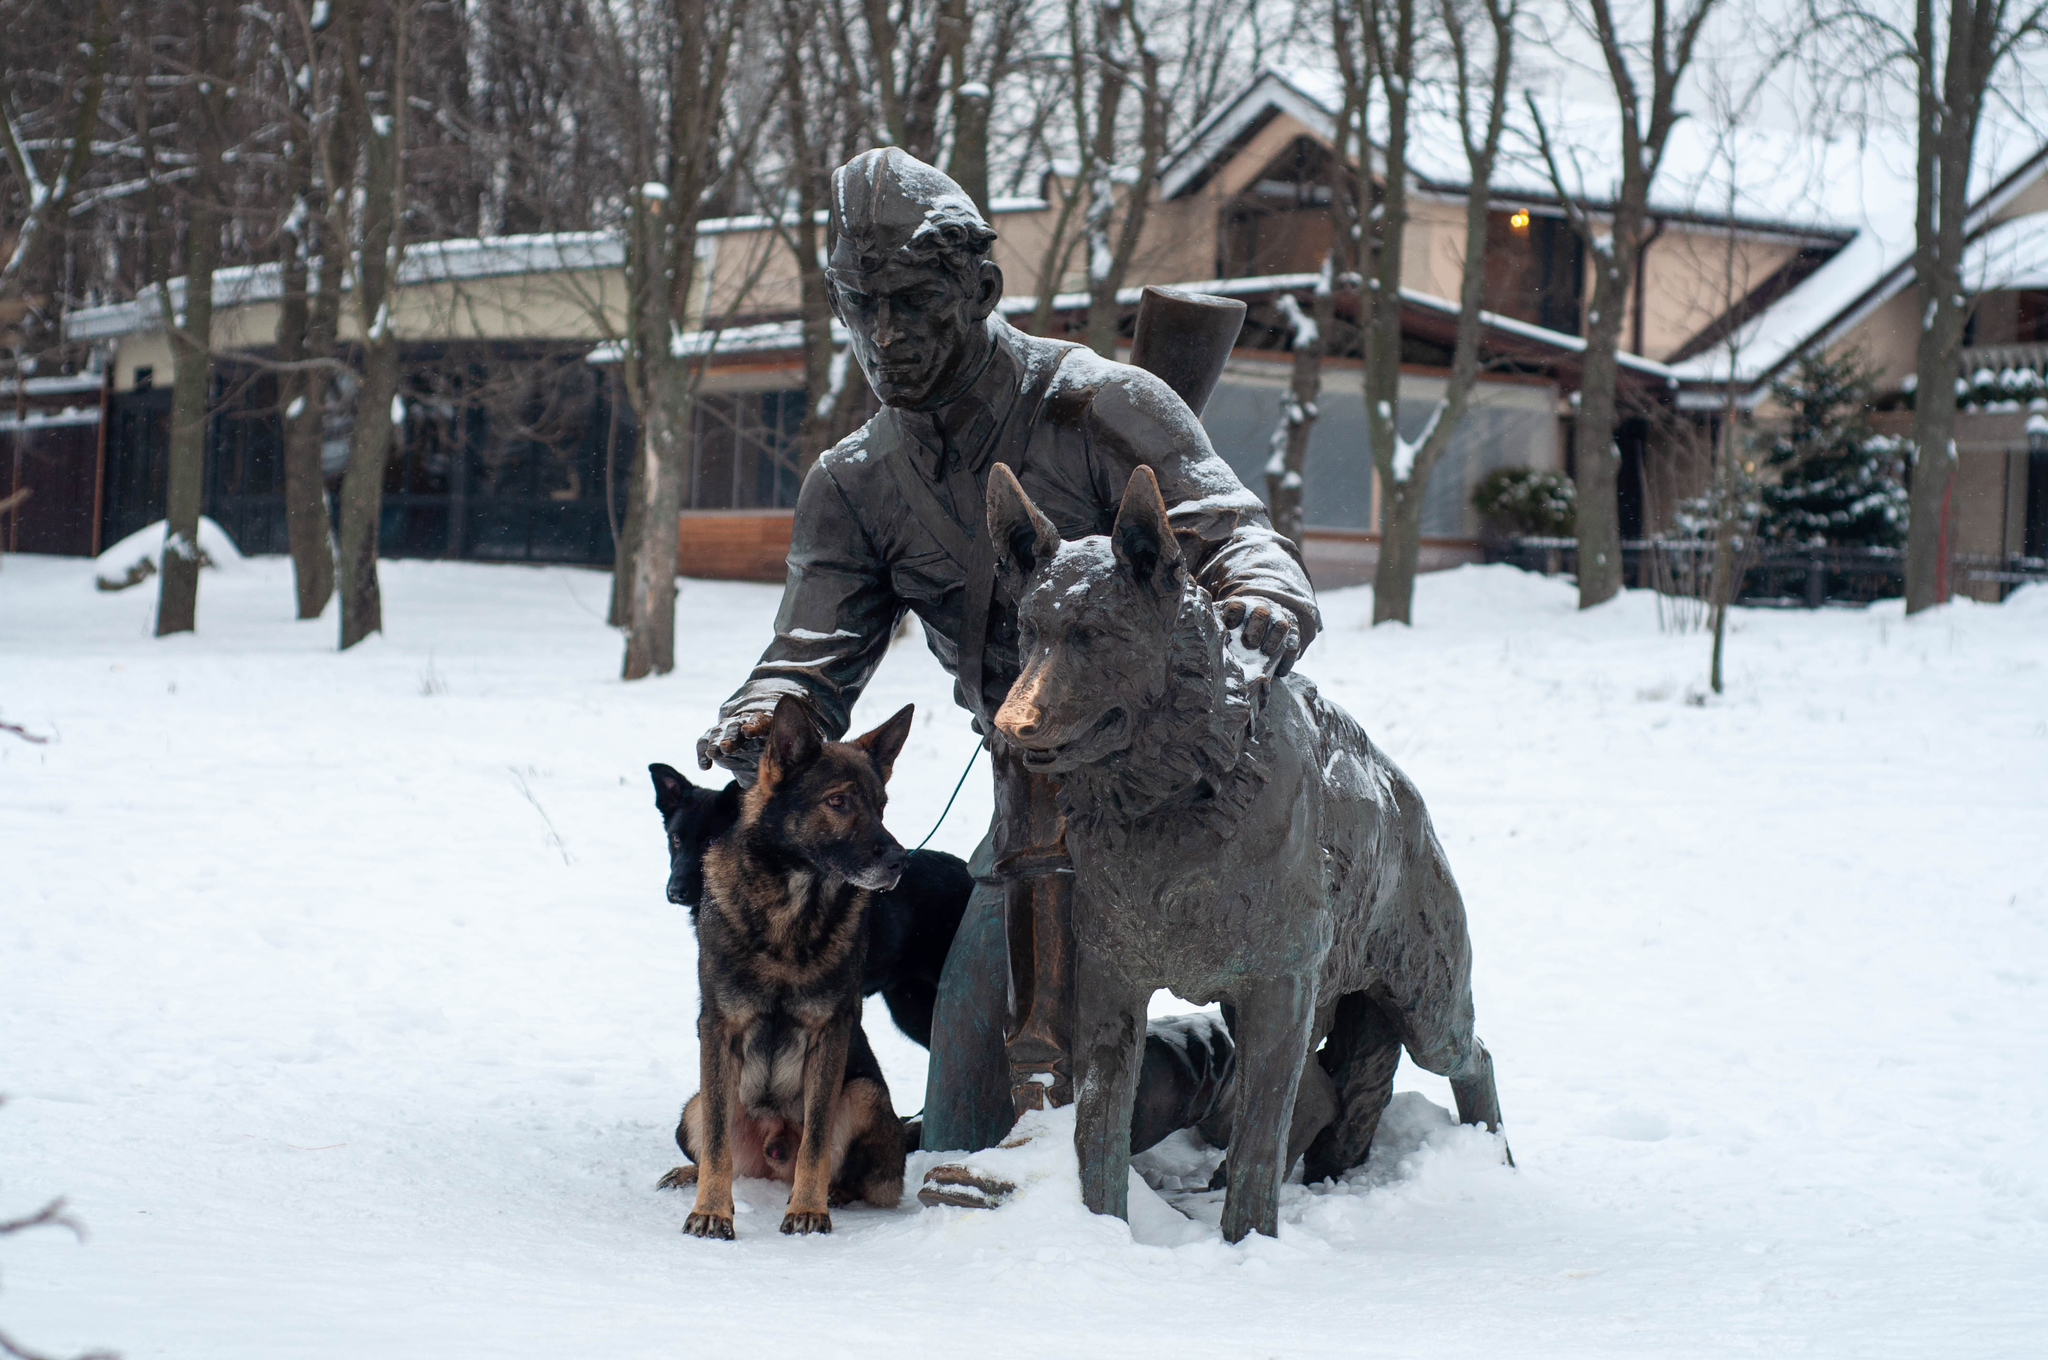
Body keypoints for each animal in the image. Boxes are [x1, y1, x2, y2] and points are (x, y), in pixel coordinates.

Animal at [655, 696, 921, 1237]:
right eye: (838, 802)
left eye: (881, 806)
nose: (901, 861)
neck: (790, 912)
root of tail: (773, 1151)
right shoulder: (719, 1030)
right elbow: (717, 1143)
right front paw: (711, 1210)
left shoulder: (829, 1033)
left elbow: (816, 1141)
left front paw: (808, 1208)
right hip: (694, 1104)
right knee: (716, 1142)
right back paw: (691, 1175)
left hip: (862, 1094)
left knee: (855, 1174)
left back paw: (833, 1194)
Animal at [983, 464, 1499, 1245]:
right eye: (1028, 632)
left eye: (1095, 634)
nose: (1010, 727)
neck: (1181, 798)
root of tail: (1404, 795)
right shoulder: (1112, 989)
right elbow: (1097, 1133)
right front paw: (1105, 1238)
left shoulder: (1280, 988)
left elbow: (1259, 1137)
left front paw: (1246, 1246)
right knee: (1320, 1096)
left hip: (1424, 1000)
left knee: (1473, 1056)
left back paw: (1496, 1160)